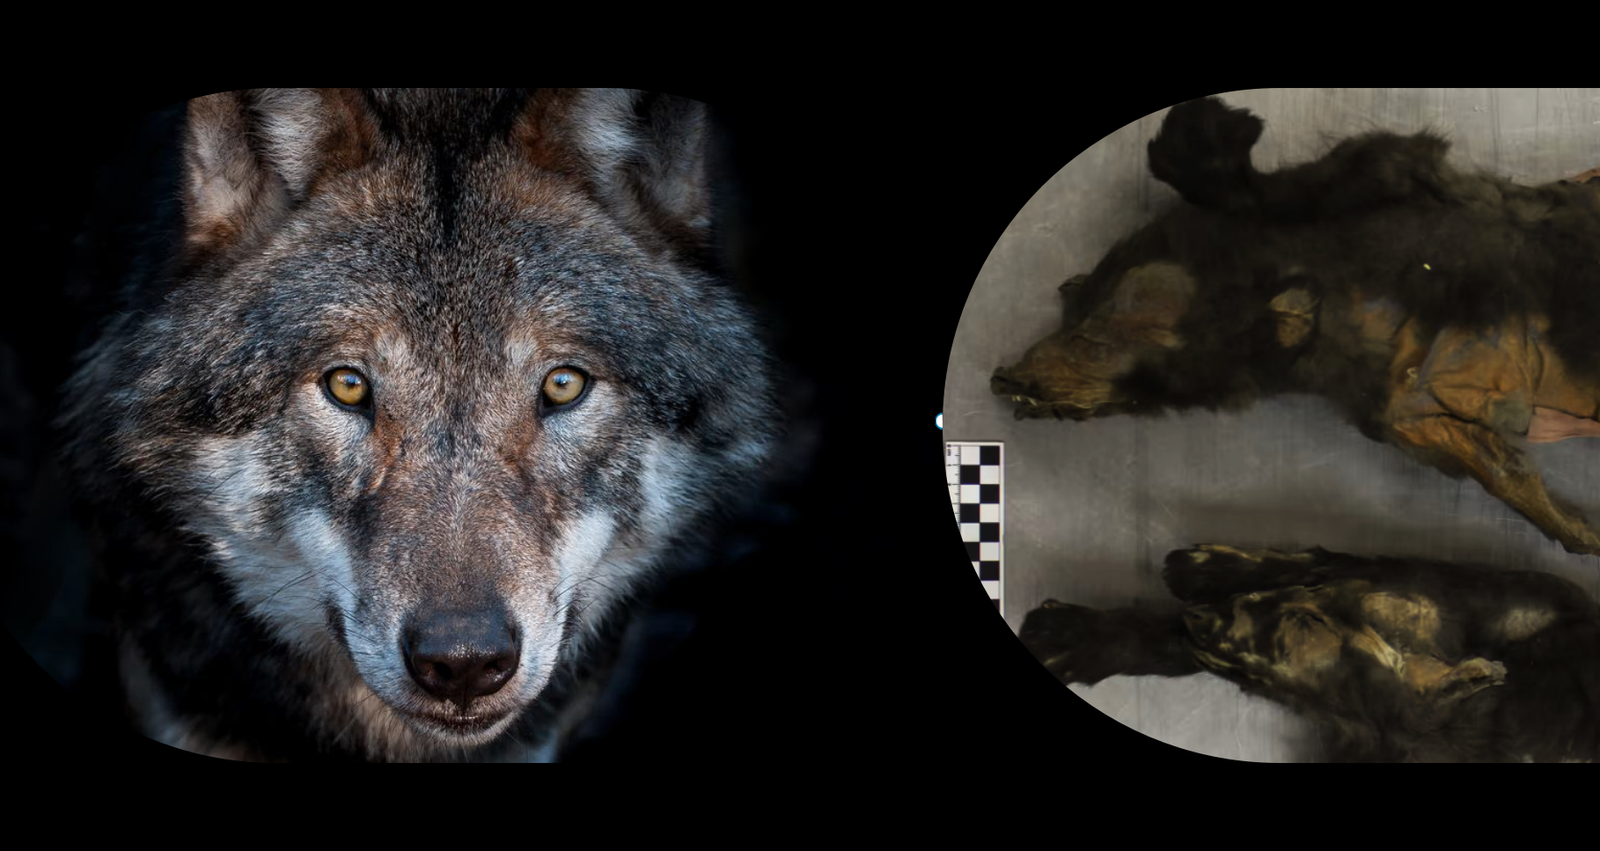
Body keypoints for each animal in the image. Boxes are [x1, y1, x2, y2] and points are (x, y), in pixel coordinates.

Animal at [991, 97, 1600, 556]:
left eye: (1093, 331)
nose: (1002, 377)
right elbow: (1502, 469)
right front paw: (1584, 533)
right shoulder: (1406, 415)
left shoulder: (1386, 175)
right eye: (1073, 314)